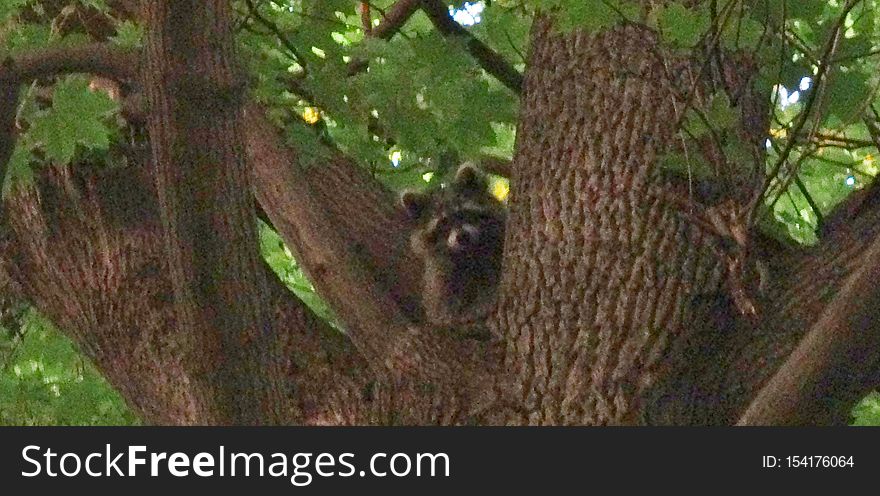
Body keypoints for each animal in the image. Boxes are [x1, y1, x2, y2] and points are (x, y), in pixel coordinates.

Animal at [400, 164, 506, 334]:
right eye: (443, 224)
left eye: (463, 213)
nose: (462, 236)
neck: (471, 253)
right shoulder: (441, 279)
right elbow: (446, 312)